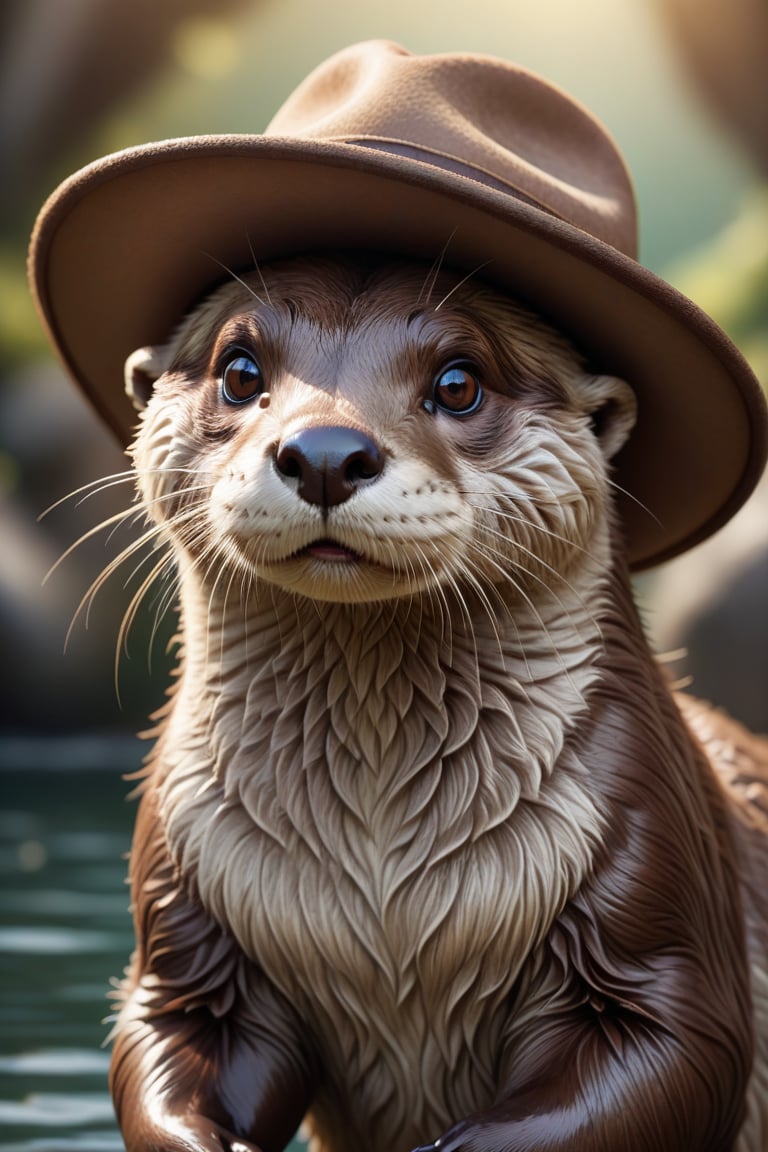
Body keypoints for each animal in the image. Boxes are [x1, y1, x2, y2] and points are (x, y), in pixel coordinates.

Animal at [103, 256, 768, 1152]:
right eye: (239, 371)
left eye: (459, 383)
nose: (325, 452)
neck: (384, 886)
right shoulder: (186, 888)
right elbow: (167, 1028)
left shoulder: (649, 860)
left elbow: (682, 1050)